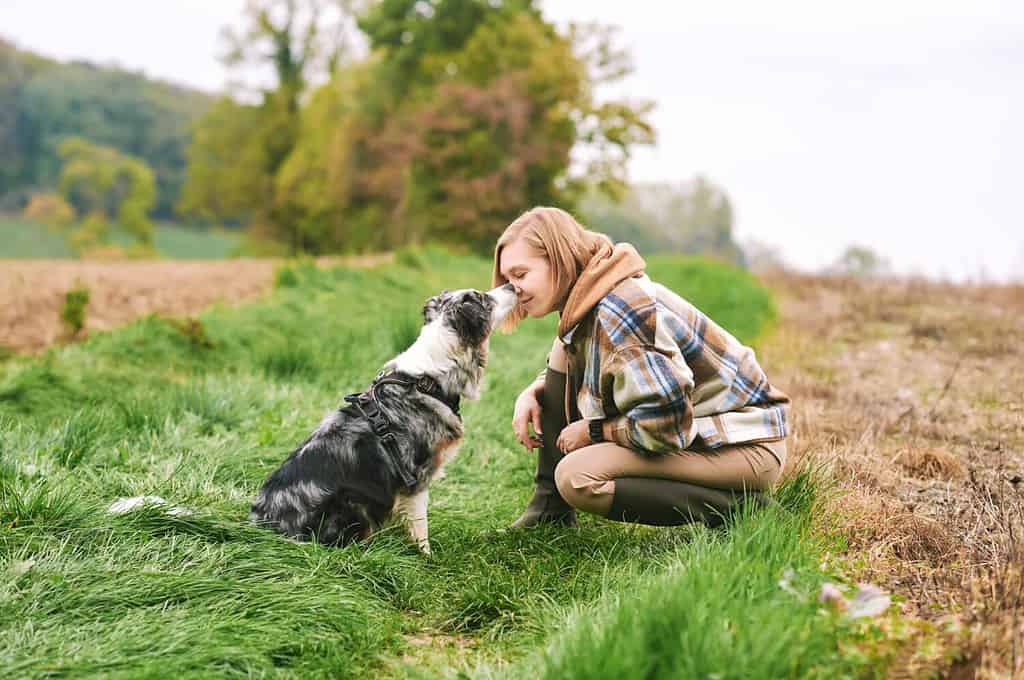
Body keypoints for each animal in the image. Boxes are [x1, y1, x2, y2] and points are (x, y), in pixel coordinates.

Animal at [248, 280, 520, 553]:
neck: (428, 380)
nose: (511, 284)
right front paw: (425, 556)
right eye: (484, 298)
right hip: (354, 502)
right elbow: (420, 526)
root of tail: (265, 526)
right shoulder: (416, 478)